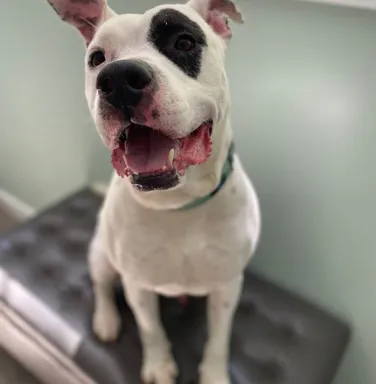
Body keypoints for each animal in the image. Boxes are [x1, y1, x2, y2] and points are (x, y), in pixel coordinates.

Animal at [47, 0, 262, 384]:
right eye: (97, 58)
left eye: (184, 42)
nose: (117, 79)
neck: (179, 204)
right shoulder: (138, 285)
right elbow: (151, 329)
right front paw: (159, 365)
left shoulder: (227, 285)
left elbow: (219, 338)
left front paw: (214, 373)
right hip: (102, 255)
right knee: (101, 286)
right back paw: (106, 319)